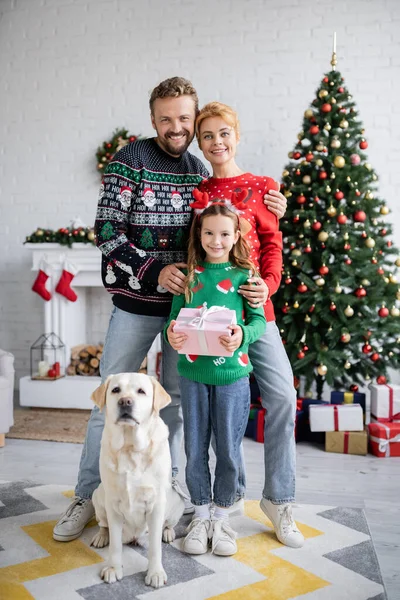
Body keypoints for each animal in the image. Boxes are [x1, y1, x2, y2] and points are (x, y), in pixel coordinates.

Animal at [89, 372, 184, 588]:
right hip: (98, 495)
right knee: (103, 524)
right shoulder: (113, 504)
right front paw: (113, 568)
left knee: (168, 525)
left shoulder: (156, 505)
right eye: (115, 390)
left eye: (141, 391)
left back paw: (168, 532)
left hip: (177, 501)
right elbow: (115, 545)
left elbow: (155, 548)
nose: (125, 401)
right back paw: (101, 536)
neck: (129, 447)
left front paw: (155, 573)